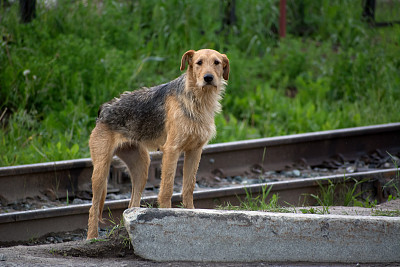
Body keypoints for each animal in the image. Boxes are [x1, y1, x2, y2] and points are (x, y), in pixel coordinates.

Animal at [87, 49, 231, 240]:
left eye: (216, 62)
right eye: (199, 62)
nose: (208, 78)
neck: (197, 99)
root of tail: (103, 110)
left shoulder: (195, 151)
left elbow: (188, 188)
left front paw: (192, 214)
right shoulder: (172, 150)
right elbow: (167, 189)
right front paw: (167, 216)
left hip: (142, 167)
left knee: (131, 204)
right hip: (101, 172)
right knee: (93, 208)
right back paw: (91, 238)